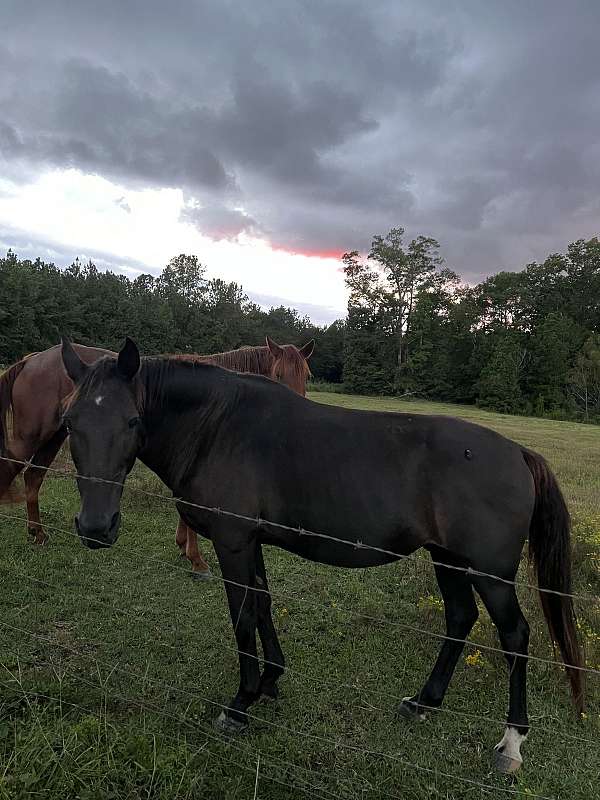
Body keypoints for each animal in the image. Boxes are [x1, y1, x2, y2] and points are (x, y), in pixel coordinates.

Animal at [1, 336, 314, 576]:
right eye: (278, 374)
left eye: (307, 377)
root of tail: (34, 359)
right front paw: (196, 560)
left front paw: (184, 548)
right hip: (31, 436)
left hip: (53, 437)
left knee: (33, 477)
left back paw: (38, 533)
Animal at [59, 340, 580, 776]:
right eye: (69, 423)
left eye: (132, 422)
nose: (96, 528)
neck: (218, 427)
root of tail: (518, 452)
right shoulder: (252, 542)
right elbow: (263, 605)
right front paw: (270, 681)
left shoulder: (233, 542)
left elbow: (242, 616)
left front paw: (240, 704)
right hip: (448, 559)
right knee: (459, 619)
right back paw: (423, 702)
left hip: (489, 573)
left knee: (514, 636)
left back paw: (511, 743)